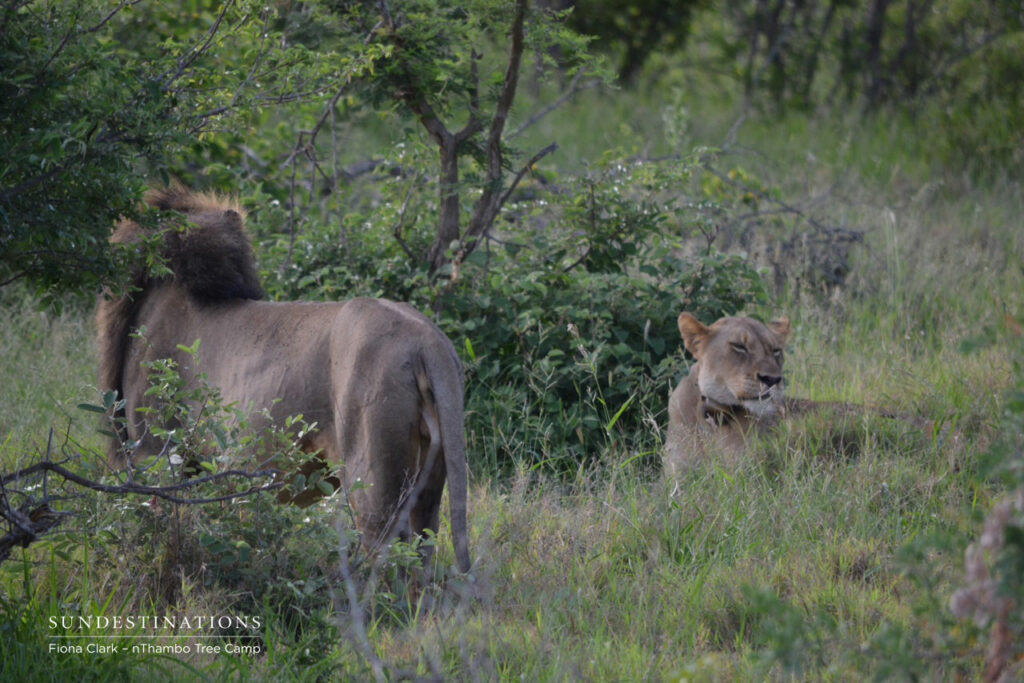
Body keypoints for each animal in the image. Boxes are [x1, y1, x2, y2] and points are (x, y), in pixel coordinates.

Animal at [96, 185, 471, 573]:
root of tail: (428, 340)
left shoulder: (157, 452)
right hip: (432, 475)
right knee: (424, 547)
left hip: (370, 474)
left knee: (386, 551)